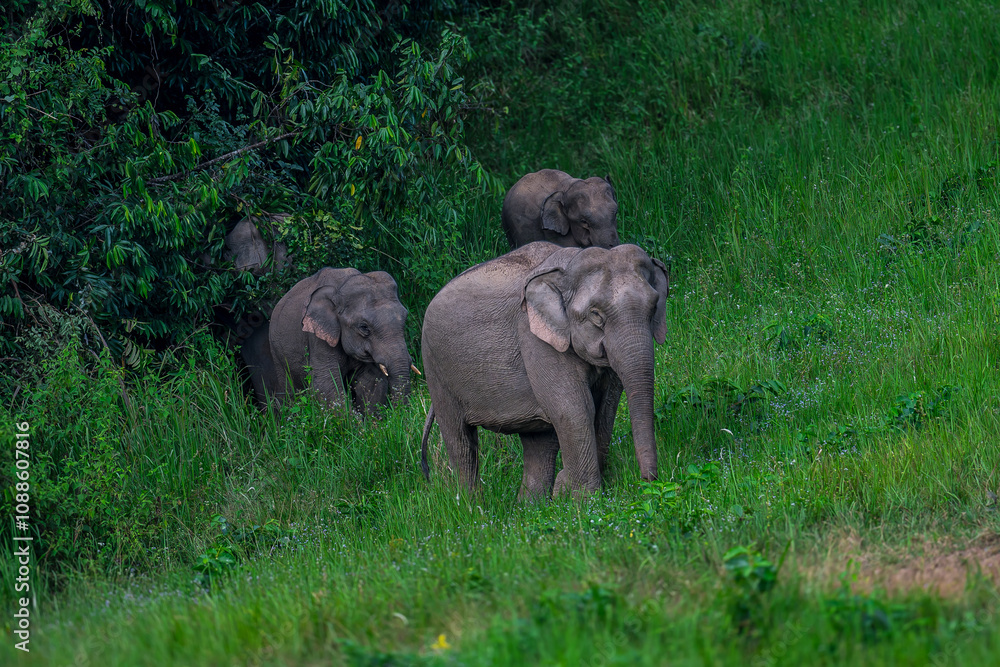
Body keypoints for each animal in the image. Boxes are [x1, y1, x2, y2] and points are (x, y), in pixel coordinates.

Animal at [241, 267, 414, 416]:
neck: (342, 287)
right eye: (364, 327)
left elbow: (370, 381)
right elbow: (324, 383)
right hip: (277, 351)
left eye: (405, 318)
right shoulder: (317, 338)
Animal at [420, 241, 670, 500]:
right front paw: (584, 500)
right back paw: (471, 506)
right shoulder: (535, 339)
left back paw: (532, 505)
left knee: (538, 442)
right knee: (460, 441)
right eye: (596, 315)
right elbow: (575, 409)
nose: (648, 482)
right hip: (436, 368)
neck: (567, 267)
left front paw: (570, 492)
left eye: (654, 307)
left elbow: (605, 408)